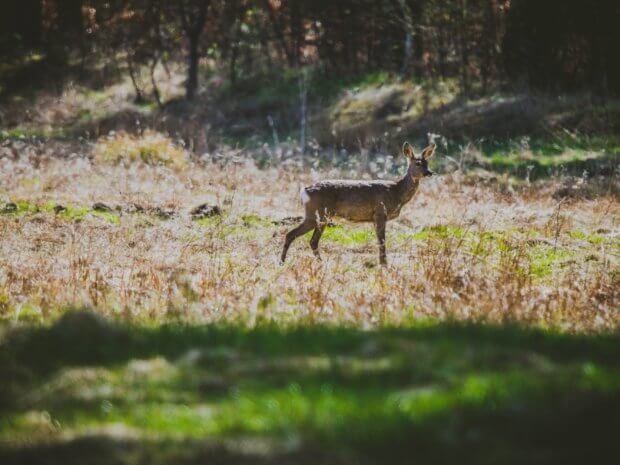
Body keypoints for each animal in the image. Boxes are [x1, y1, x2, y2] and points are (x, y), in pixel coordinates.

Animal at [280, 141, 436, 264]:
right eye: (418, 163)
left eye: (427, 162)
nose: (429, 172)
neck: (396, 192)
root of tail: (304, 191)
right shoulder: (380, 212)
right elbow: (382, 241)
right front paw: (384, 265)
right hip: (316, 214)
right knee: (292, 234)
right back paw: (282, 262)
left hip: (322, 217)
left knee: (312, 241)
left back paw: (319, 263)